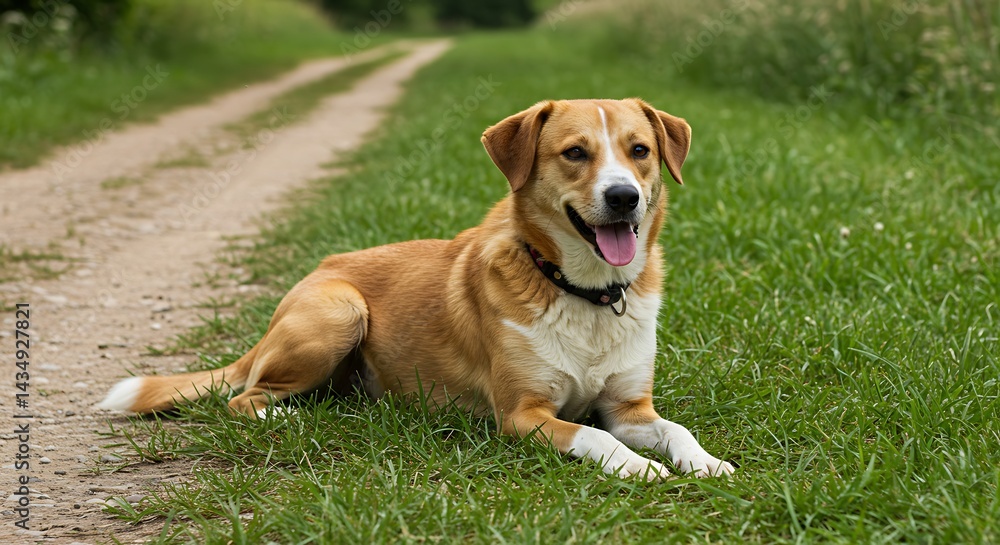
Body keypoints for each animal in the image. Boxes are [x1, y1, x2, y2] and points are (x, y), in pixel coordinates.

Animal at [100, 98, 735, 479]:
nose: (623, 197)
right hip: (338, 312)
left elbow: (676, 429)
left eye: (640, 151)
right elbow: (594, 438)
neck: (584, 293)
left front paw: (707, 463)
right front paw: (639, 468)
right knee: (244, 399)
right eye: (575, 152)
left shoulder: (630, 408)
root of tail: (315, 272)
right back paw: (293, 419)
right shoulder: (522, 415)